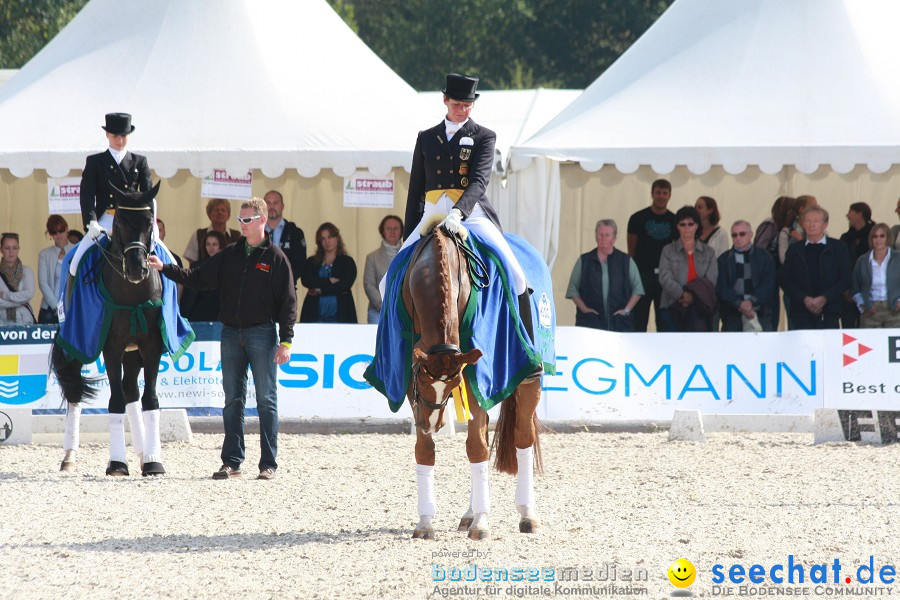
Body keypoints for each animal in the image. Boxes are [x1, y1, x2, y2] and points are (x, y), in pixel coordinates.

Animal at [52, 184, 166, 478]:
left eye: (149, 222)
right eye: (121, 222)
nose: (138, 268)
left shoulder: (152, 346)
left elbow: (150, 399)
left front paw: (153, 462)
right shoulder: (112, 346)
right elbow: (115, 402)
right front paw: (117, 463)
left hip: (133, 351)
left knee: (131, 392)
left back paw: (142, 455)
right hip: (77, 342)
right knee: (75, 391)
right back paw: (69, 457)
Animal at [404, 223, 544, 540]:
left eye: (453, 381)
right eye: (421, 379)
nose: (431, 423)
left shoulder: (474, 372)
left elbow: (476, 447)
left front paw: (482, 523)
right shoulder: (408, 368)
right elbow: (425, 448)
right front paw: (425, 522)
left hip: (529, 380)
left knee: (523, 436)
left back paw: (526, 514)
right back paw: (469, 514)